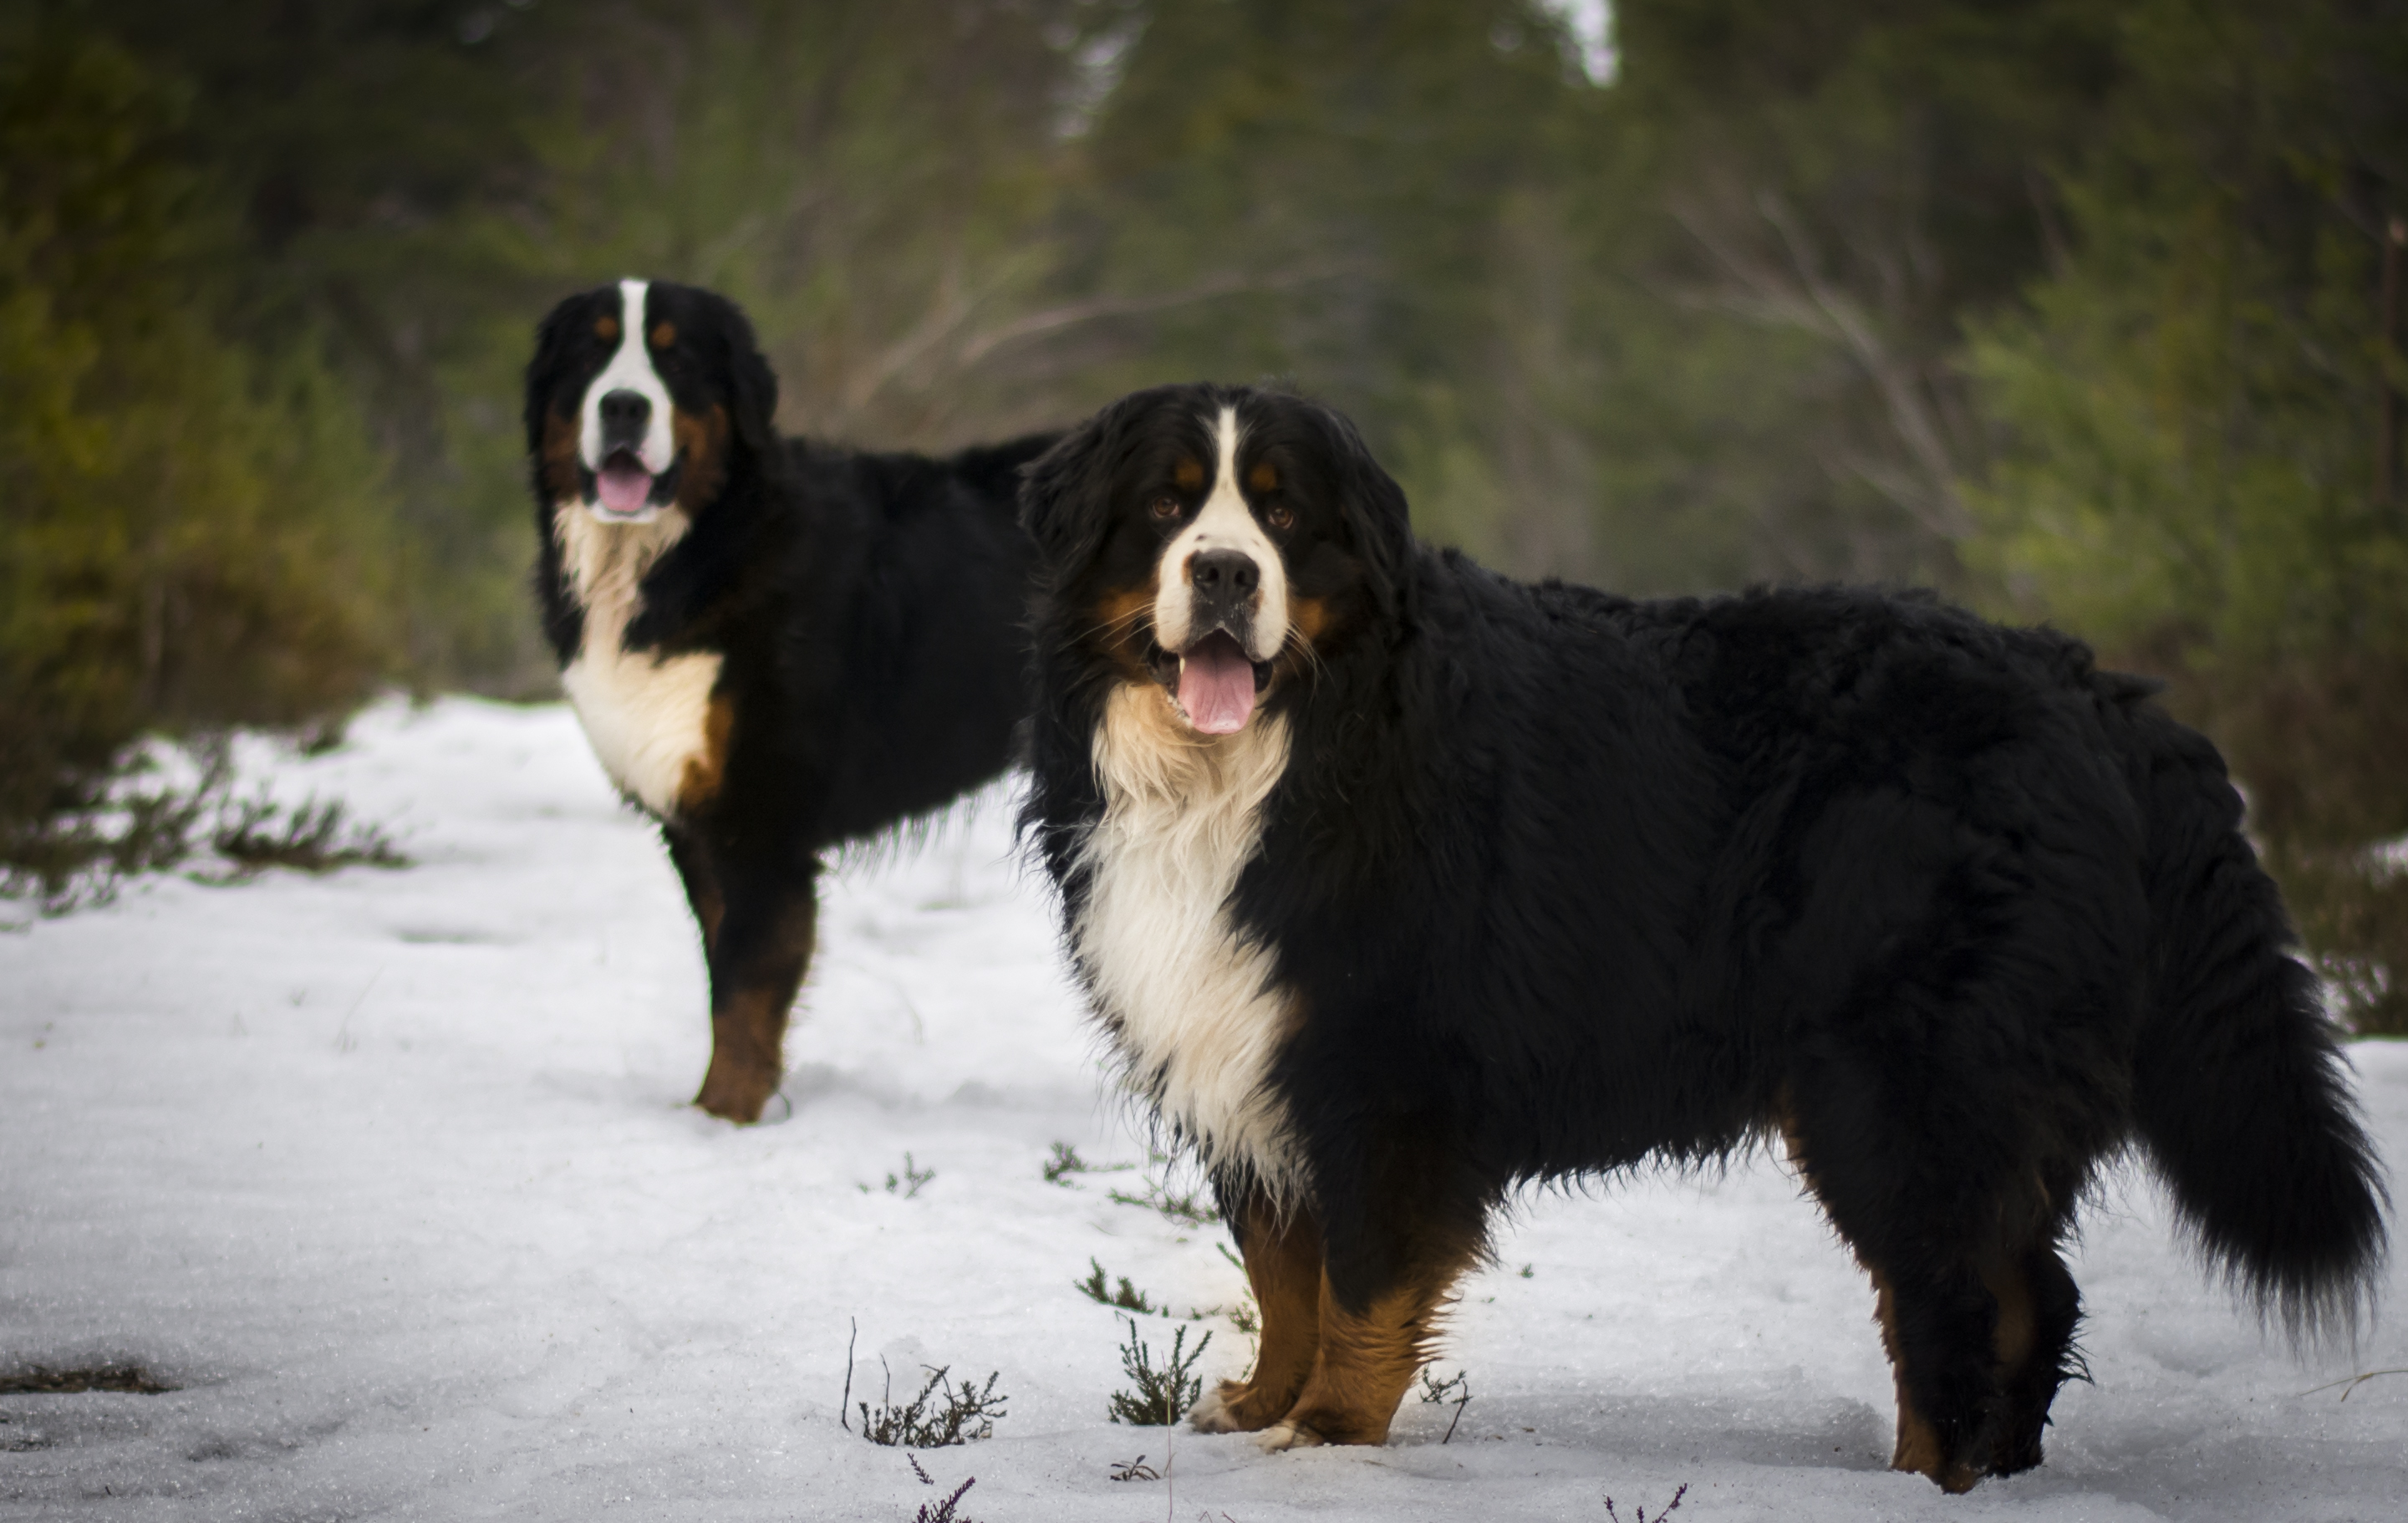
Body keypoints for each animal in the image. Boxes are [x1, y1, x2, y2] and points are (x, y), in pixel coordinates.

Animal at [526, 278, 1055, 1123]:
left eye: (676, 358)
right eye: (589, 352)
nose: (623, 407)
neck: (690, 554)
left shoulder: (760, 826)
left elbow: (745, 992)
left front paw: (721, 1122)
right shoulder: (701, 828)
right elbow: (727, 982)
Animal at [1014, 382, 2389, 1491]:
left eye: (1286, 519)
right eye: (1166, 508)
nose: (1226, 574)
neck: (1275, 758)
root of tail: (2093, 689)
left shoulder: (1379, 1068)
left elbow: (1359, 1283)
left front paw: (1329, 1439)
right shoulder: (1248, 1052)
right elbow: (1281, 1267)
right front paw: (1261, 1405)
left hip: (1901, 1085)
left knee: (1955, 1303)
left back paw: (1924, 1482)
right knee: (2022, 1296)